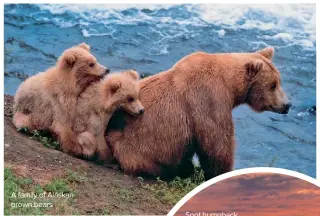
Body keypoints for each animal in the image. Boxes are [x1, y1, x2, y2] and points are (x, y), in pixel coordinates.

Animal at [106, 47, 292, 181]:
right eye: (273, 85)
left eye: (279, 81)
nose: (287, 105)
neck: (229, 85)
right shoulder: (208, 99)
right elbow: (217, 143)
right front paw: (221, 173)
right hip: (136, 150)